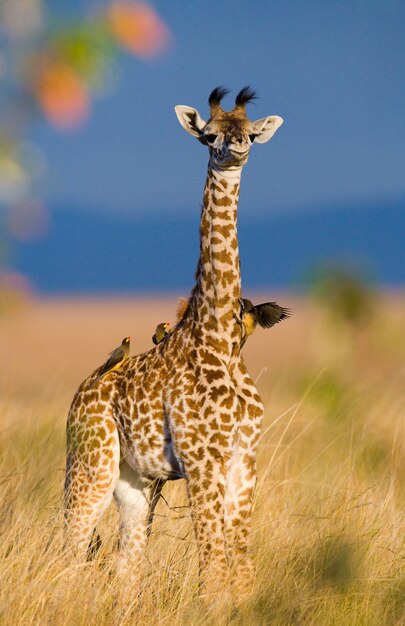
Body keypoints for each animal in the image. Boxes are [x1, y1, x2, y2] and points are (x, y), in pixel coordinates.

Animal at [64, 85, 282, 596]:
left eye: (250, 134)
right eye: (209, 135)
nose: (235, 151)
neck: (218, 341)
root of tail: (79, 396)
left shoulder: (244, 460)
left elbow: (241, 569)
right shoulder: (202, 461)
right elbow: (213, 569)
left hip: (135, 481)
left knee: (125, 565)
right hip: (90, 465)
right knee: (68, 550)